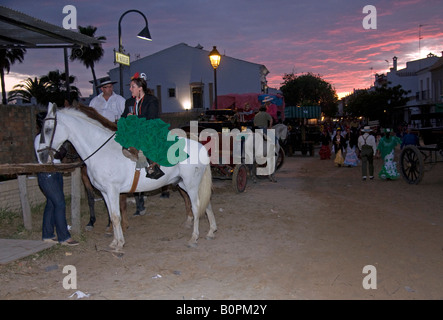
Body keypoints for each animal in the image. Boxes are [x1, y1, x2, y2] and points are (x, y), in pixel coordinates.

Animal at [37, 103, 218, 252]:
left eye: (48, 129)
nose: (42, 156)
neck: (102, 151)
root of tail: (199, 145)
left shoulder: (113, 191)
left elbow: (117, 216)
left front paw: (119, 244)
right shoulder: (105, 192)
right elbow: (112, 216)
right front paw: (115, 242)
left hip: (191, 185)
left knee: (197, 207)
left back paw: (194, 238)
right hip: (184, 184)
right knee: (207, 204)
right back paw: (211, 231)